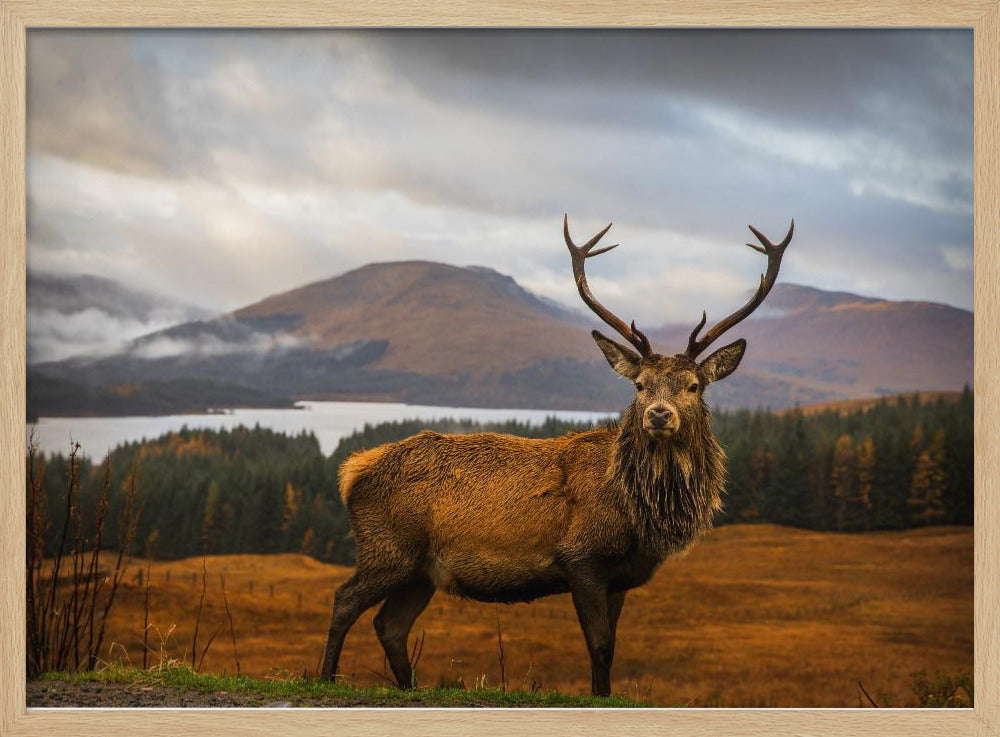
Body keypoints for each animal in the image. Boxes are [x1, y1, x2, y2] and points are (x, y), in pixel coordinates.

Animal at [320, 215, 794, 697]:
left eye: (694, 386)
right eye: (640, 385)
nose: (659, 415)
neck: (639, 515)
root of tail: (352, 471)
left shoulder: (620, 577)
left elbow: (611, 647)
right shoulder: (580, 557)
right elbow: (599, 645)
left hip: (421, 571)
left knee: (390, 625)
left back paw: (408, 688)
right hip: (388, 548)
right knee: (343, 600)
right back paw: (325, 677)